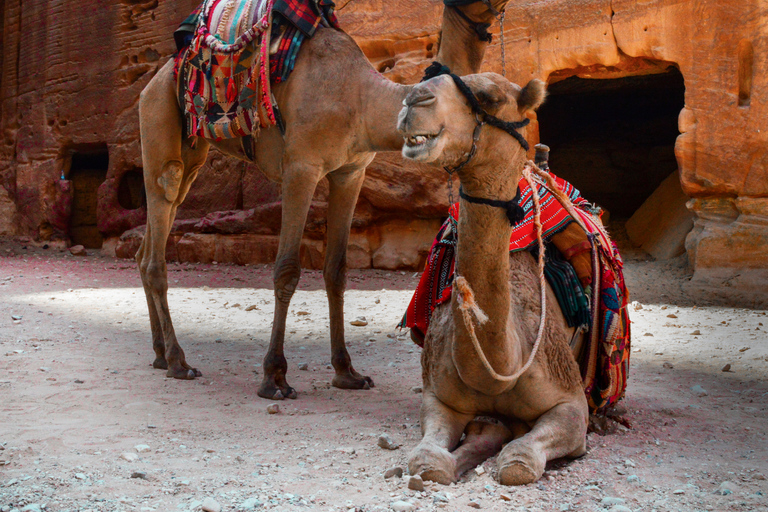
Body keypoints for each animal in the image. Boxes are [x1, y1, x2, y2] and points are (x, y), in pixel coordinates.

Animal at [138, 0, 510, 400]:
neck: (363, 100)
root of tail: (151, 84)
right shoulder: (301, 167)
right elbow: (287, 269)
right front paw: (275, 377)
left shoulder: (351, 172)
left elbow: (337, 271)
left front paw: (348, 372)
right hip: (160, 121)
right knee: (161, 226)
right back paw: (178, 361)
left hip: (193, 152)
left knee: (148, 245)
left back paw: (159, 353)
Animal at [396, 71, 588, 484]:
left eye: (490, 97)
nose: (414, 99)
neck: (501, 368)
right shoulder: (438, 397)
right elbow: (427, 460)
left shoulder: (571, 401)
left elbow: (519, 462)